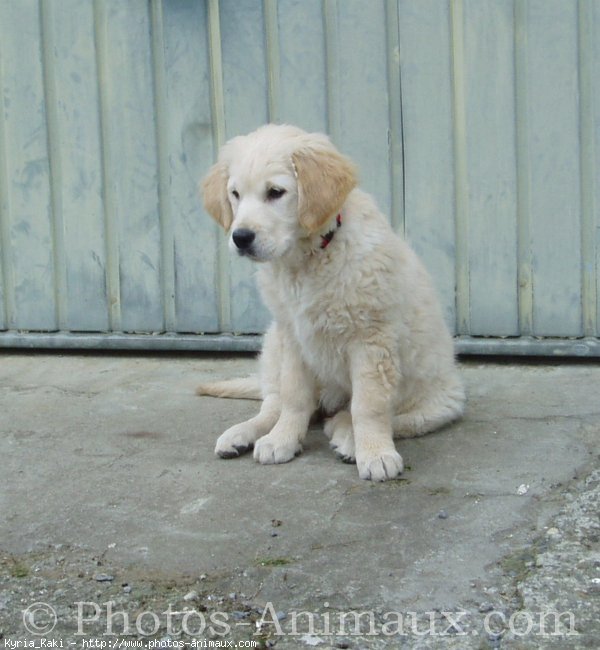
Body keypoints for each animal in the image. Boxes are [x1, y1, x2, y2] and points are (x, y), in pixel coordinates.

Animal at [197, 124, 464, 478]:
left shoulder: (370, 340)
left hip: (440, 400)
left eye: (276, 193)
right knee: (274, 402)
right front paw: (282, 440)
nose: (240, 237)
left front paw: (375, 453)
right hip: (273, 343)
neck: (308, 258)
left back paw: (346, 435)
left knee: (375, 416)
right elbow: (294, 397)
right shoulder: (293, 335)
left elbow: (369, 406)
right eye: (235, 194)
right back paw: (242, 434)